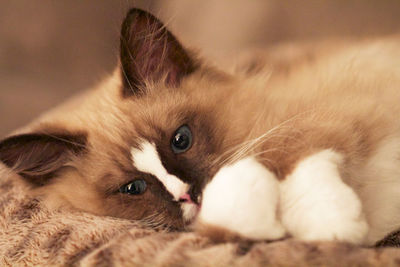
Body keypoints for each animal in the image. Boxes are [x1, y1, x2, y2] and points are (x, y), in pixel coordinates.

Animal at [0, 7, 400, 247]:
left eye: (181, 140)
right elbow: (228, 215)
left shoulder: (324, 116)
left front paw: (335, 230)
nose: (188, 194)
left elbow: (297, 155)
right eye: (133, 188)